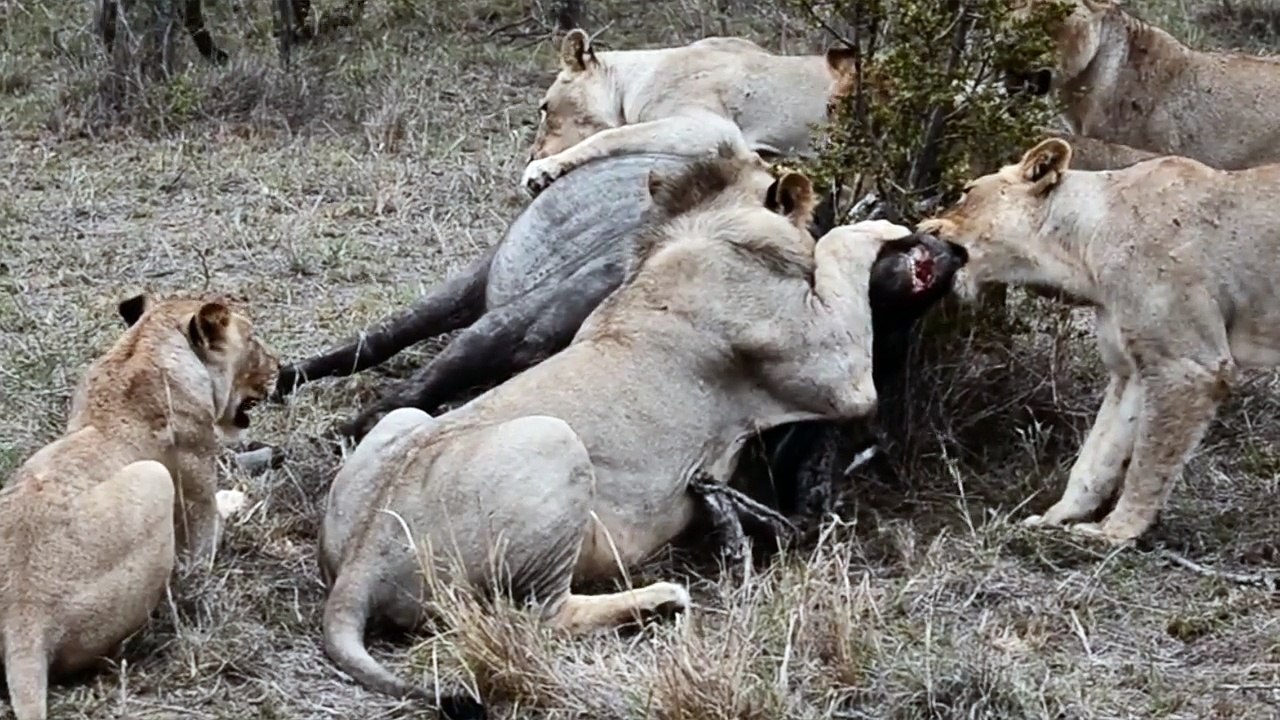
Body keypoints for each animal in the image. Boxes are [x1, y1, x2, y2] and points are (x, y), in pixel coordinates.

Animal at [0, 294, 277, 720]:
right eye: (253, 339)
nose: (280, 367)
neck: (144, 345)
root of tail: (22, 617)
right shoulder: (197, 498)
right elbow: (211, 528)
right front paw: (236, 497)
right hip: (154, 479)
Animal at [319, 147, 957, 714]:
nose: (947, 243)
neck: (704, 230)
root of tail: (361, 562)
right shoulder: (840, 373)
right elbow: (839, 249)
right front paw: (880, 222)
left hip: (407, 423)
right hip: (552, 440)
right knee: (541, 617)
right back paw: (660, 601)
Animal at [918, 136, 1280, 545]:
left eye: (966, 192)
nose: (920, 226)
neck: (1081, 249)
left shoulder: (1186, 366)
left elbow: (1148, 464)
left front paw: (1114, 532)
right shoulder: (1130, 369)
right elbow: (1096, 456)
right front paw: (1055, 518)